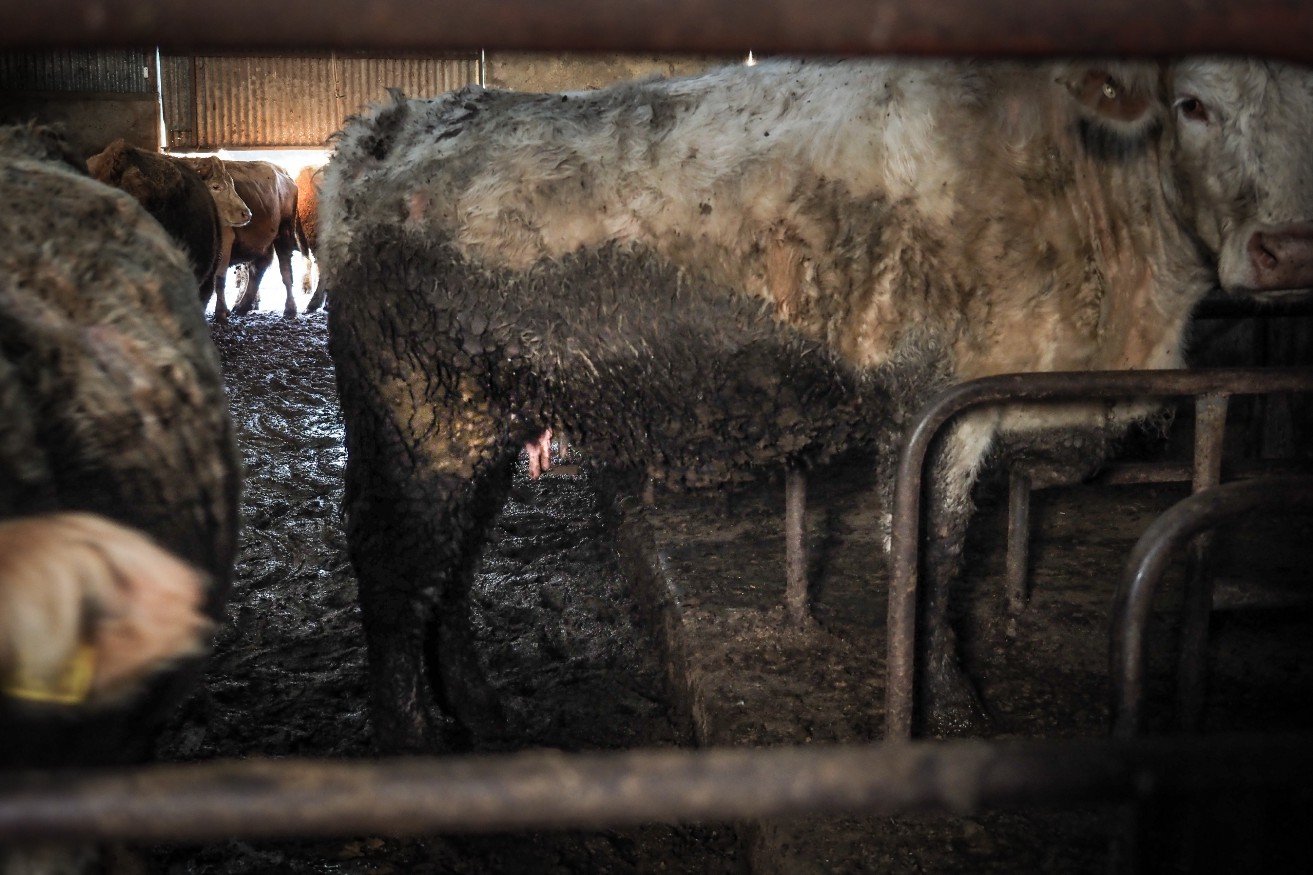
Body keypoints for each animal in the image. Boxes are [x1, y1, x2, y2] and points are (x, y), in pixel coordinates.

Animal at [322, 57, 1313, 746]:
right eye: (1192, 104)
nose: (1287, 250)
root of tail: (393, 121)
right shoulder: (936, 402)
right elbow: (928, 558)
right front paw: (950, 712)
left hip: (479, 419)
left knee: (450, 567)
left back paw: (481, 711)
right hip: (413, 413)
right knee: (394, 566)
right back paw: (415, 740)